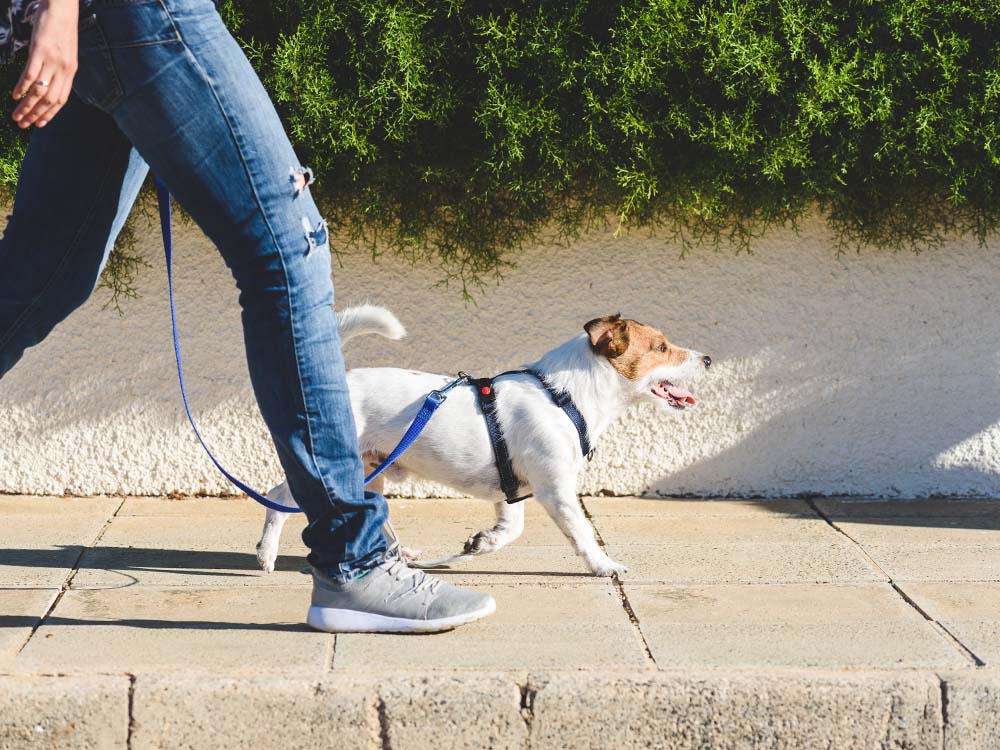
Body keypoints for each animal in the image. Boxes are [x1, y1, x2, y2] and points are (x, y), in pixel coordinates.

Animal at [258, 306, 712, 576]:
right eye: (661, 347)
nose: (708, 359)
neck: (564, 395)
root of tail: (340, 382)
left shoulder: (513, 489)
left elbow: (510, 529)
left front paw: (483, 543)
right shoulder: (556, 490)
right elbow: (583, 534)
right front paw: (605, 565)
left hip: (372, 472)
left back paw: (401, 555)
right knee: (277, 497)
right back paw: (267, 553)